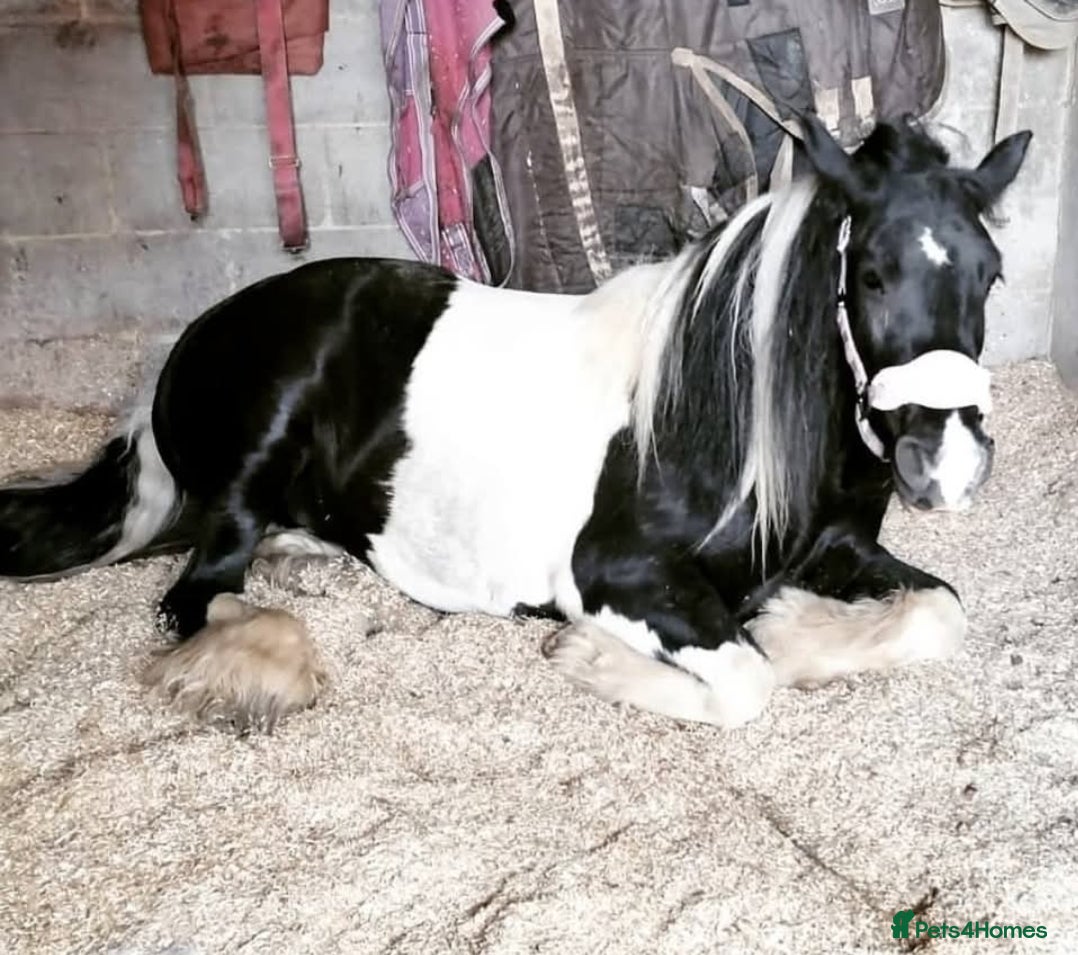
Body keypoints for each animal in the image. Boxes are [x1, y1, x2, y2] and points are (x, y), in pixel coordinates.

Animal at [0, 116, 1032, 732]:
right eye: (874, 275)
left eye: (991, 273)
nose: (946, 463)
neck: (725, 423)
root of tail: (196, 336)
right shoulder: (619, 572)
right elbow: (745, 684)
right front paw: (590, 657)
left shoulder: (845, 549)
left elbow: (939, 611)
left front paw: (802, 627)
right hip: (265, 432)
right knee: (197, 589)